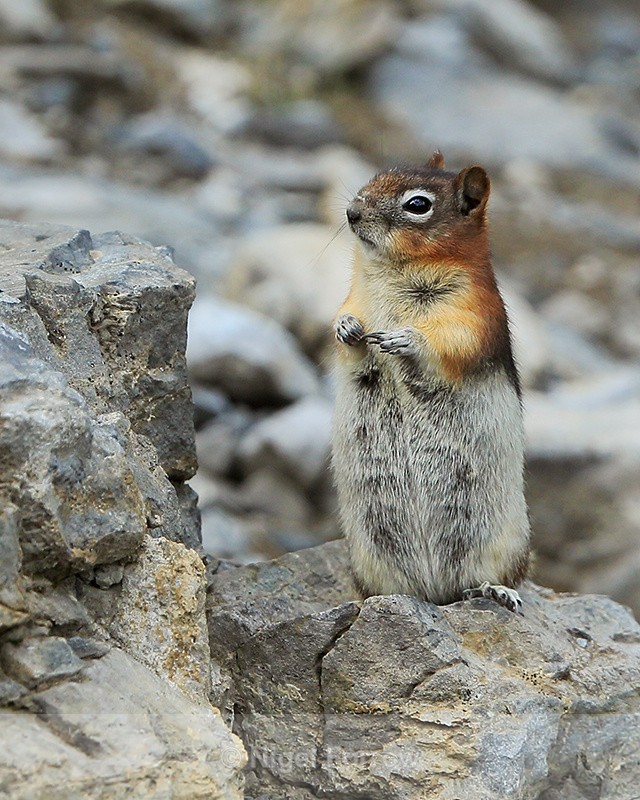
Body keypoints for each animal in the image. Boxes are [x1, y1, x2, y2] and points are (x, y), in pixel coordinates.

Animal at [331, 151, 529, 614]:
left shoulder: (472, 314)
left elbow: (446, 343)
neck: (390, 272)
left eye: (417, 205)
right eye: (377, 175)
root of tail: (435, 592)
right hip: (369, 556)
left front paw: (404, 338)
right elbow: (346, 331)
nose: (352, 213)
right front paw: (347, 328)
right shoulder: (354, 296)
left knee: (491, 578)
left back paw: (495, 591)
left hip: (505, 544)